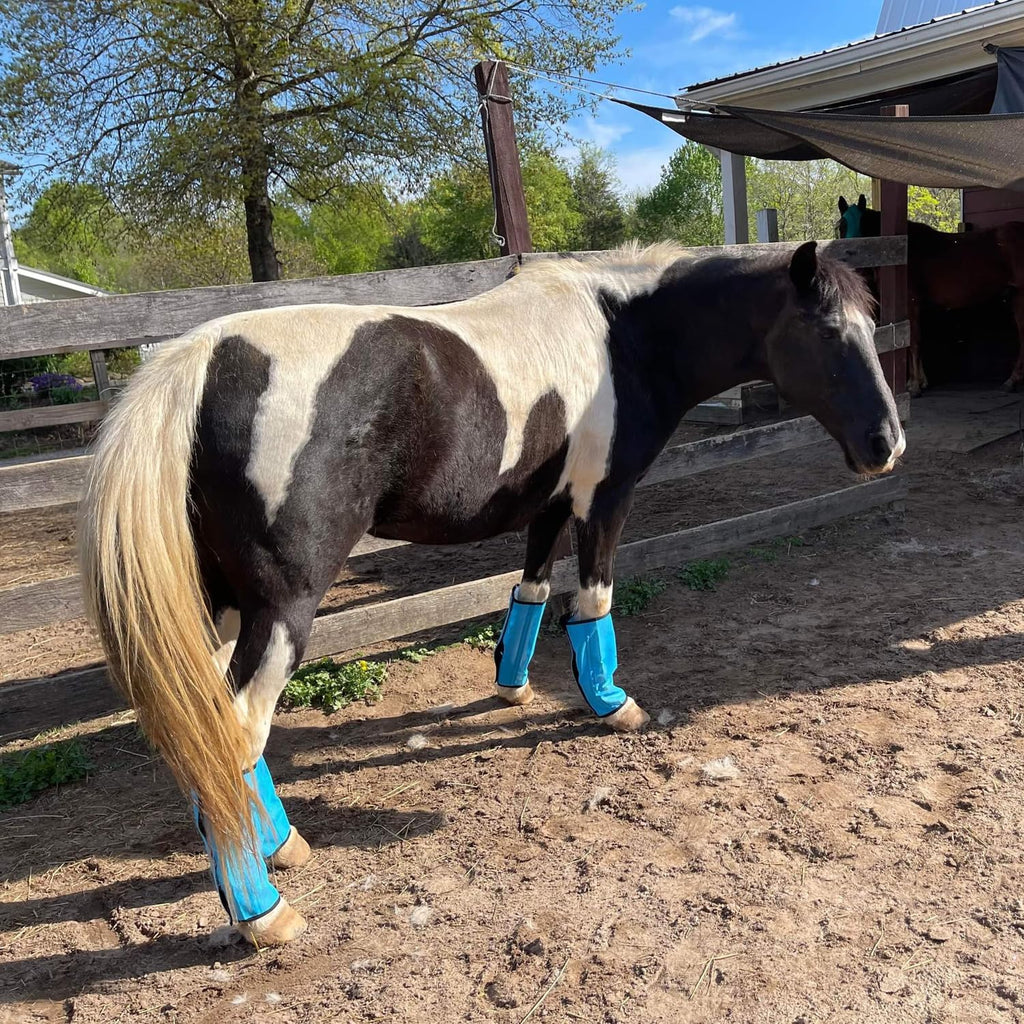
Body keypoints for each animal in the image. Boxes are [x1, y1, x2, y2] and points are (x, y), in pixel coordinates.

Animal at [79, 240, 904, 947]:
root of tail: (196, 363)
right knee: (238, 725)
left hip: (221, 603)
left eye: (871, 327)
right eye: (829, 331)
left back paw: (277, 844)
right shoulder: (602, 501)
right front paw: (613, 705)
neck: (624, 334)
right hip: (283, 608)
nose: (887, 445)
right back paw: (263, 912)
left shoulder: (547, 506)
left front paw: (514, 690)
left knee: (211, 729)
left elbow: (531, 592)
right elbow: (594, 602)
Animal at [838, 193, 1024, 395]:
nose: (854, 264)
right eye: (842, 226)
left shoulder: (911, 302)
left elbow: (914, 341)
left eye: (864, 225)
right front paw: (921, 381)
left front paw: (914, 385)